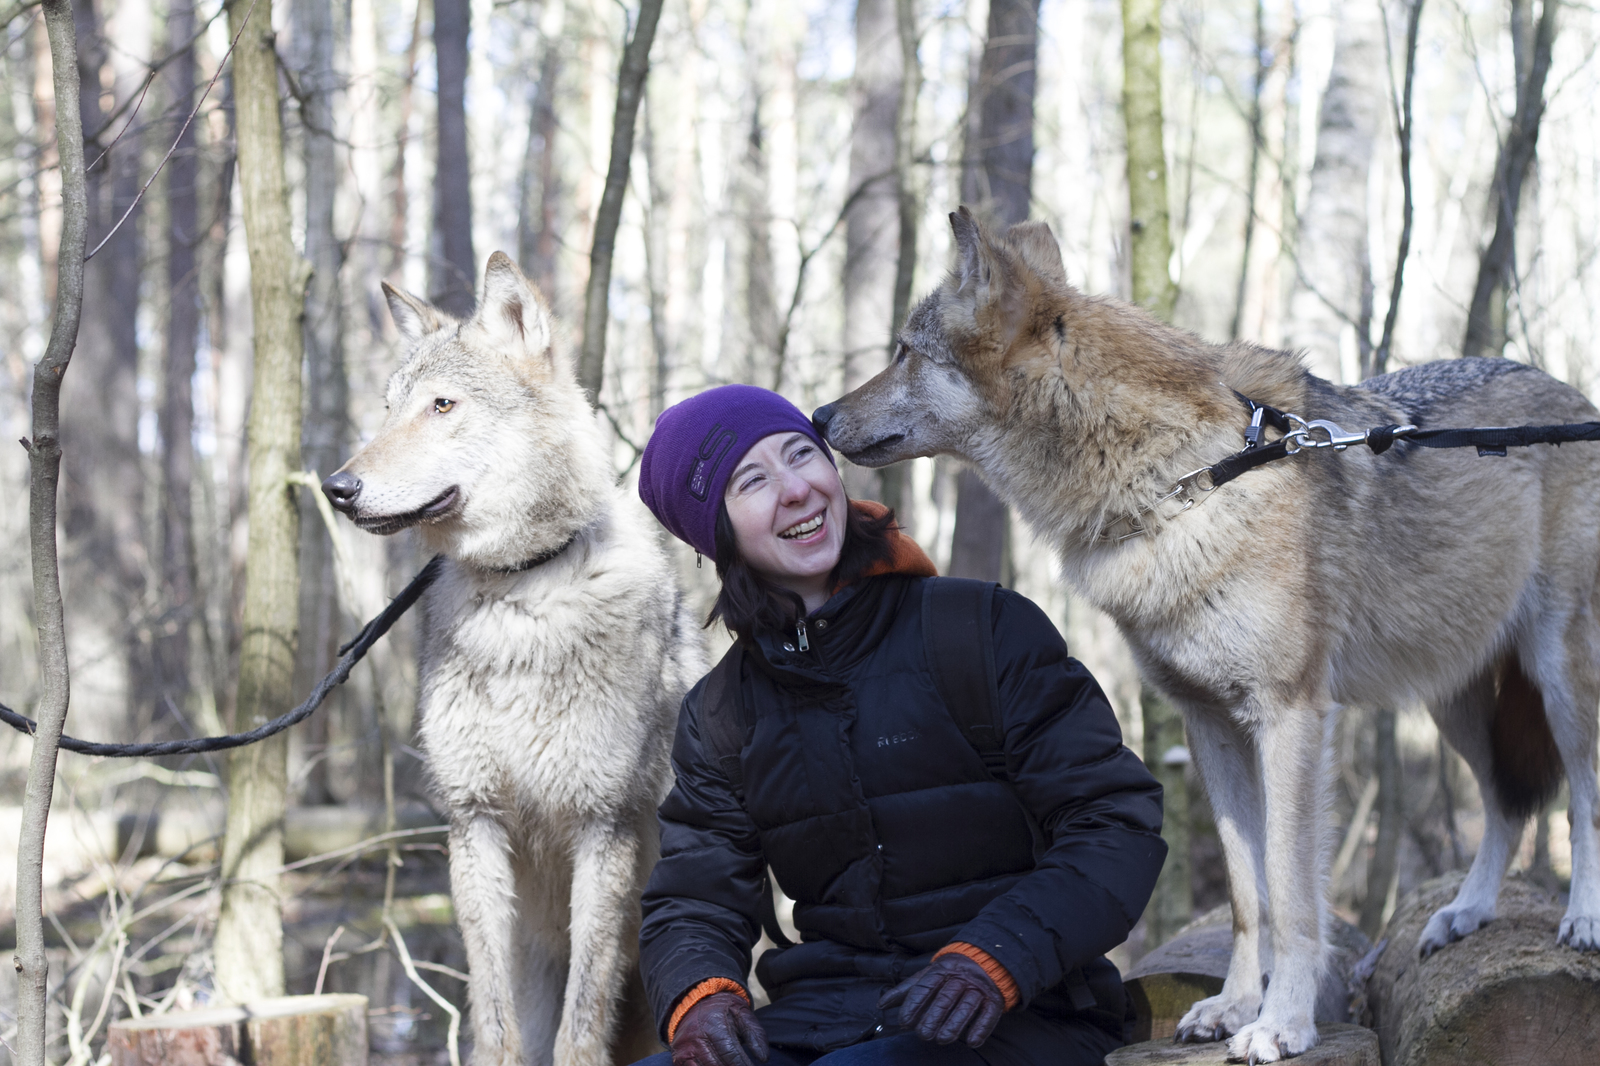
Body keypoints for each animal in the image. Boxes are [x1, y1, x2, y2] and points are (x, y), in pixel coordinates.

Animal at [321, 251, 704, 1062]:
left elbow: (579, 1030)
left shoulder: (603, 827)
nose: (338, 487)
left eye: (442, 406)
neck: (521, 595)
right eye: (388, 407)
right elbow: (495, 1023)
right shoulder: (474, 824)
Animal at [812, 209, 1600, 1062]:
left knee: (1581, 796)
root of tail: (1567, 389)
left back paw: (1582, 920)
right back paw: (1466, 913)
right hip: (1452, 700)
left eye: (903, 352)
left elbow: (1292, 892)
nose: (818, 417)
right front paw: (1231, 1007)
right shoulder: (1210, 724)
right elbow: (1248, 897)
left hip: (1557, 680)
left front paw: (1282, 1024)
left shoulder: (1290, 716)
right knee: (1508, 804)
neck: (1188, 480)